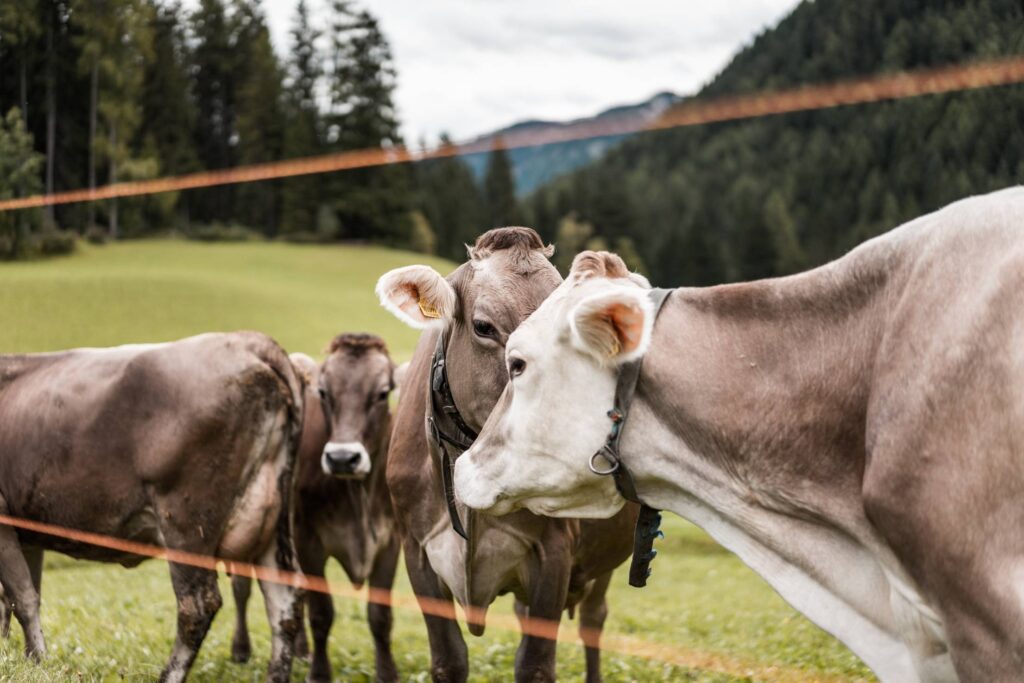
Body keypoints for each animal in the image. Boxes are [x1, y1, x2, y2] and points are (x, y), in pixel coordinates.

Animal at [0, 329, 303, 679]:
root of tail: (247, 341)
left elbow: (21, 598)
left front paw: (36, 662)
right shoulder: (29, 530)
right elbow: (26, 594)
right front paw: (35, 663)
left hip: (187, 522)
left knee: (198, 605)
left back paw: (168, 674)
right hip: (272, 523)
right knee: (285, 602)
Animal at [229, 335, 399, 683]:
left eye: (382, 392)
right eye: (324, 392)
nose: (343, 458)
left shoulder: (390, 541)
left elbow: (380, 616)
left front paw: (387, 673)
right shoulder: (309, 540)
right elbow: (322, 613)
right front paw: (320, 673)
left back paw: (300, 650)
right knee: (242, 588)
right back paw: (241, 648)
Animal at [372, 229, 634, 683]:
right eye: (483, 327)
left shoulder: (555, 552)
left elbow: (535, 665)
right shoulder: (417, 551)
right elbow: (448, 659)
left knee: (593, 620)